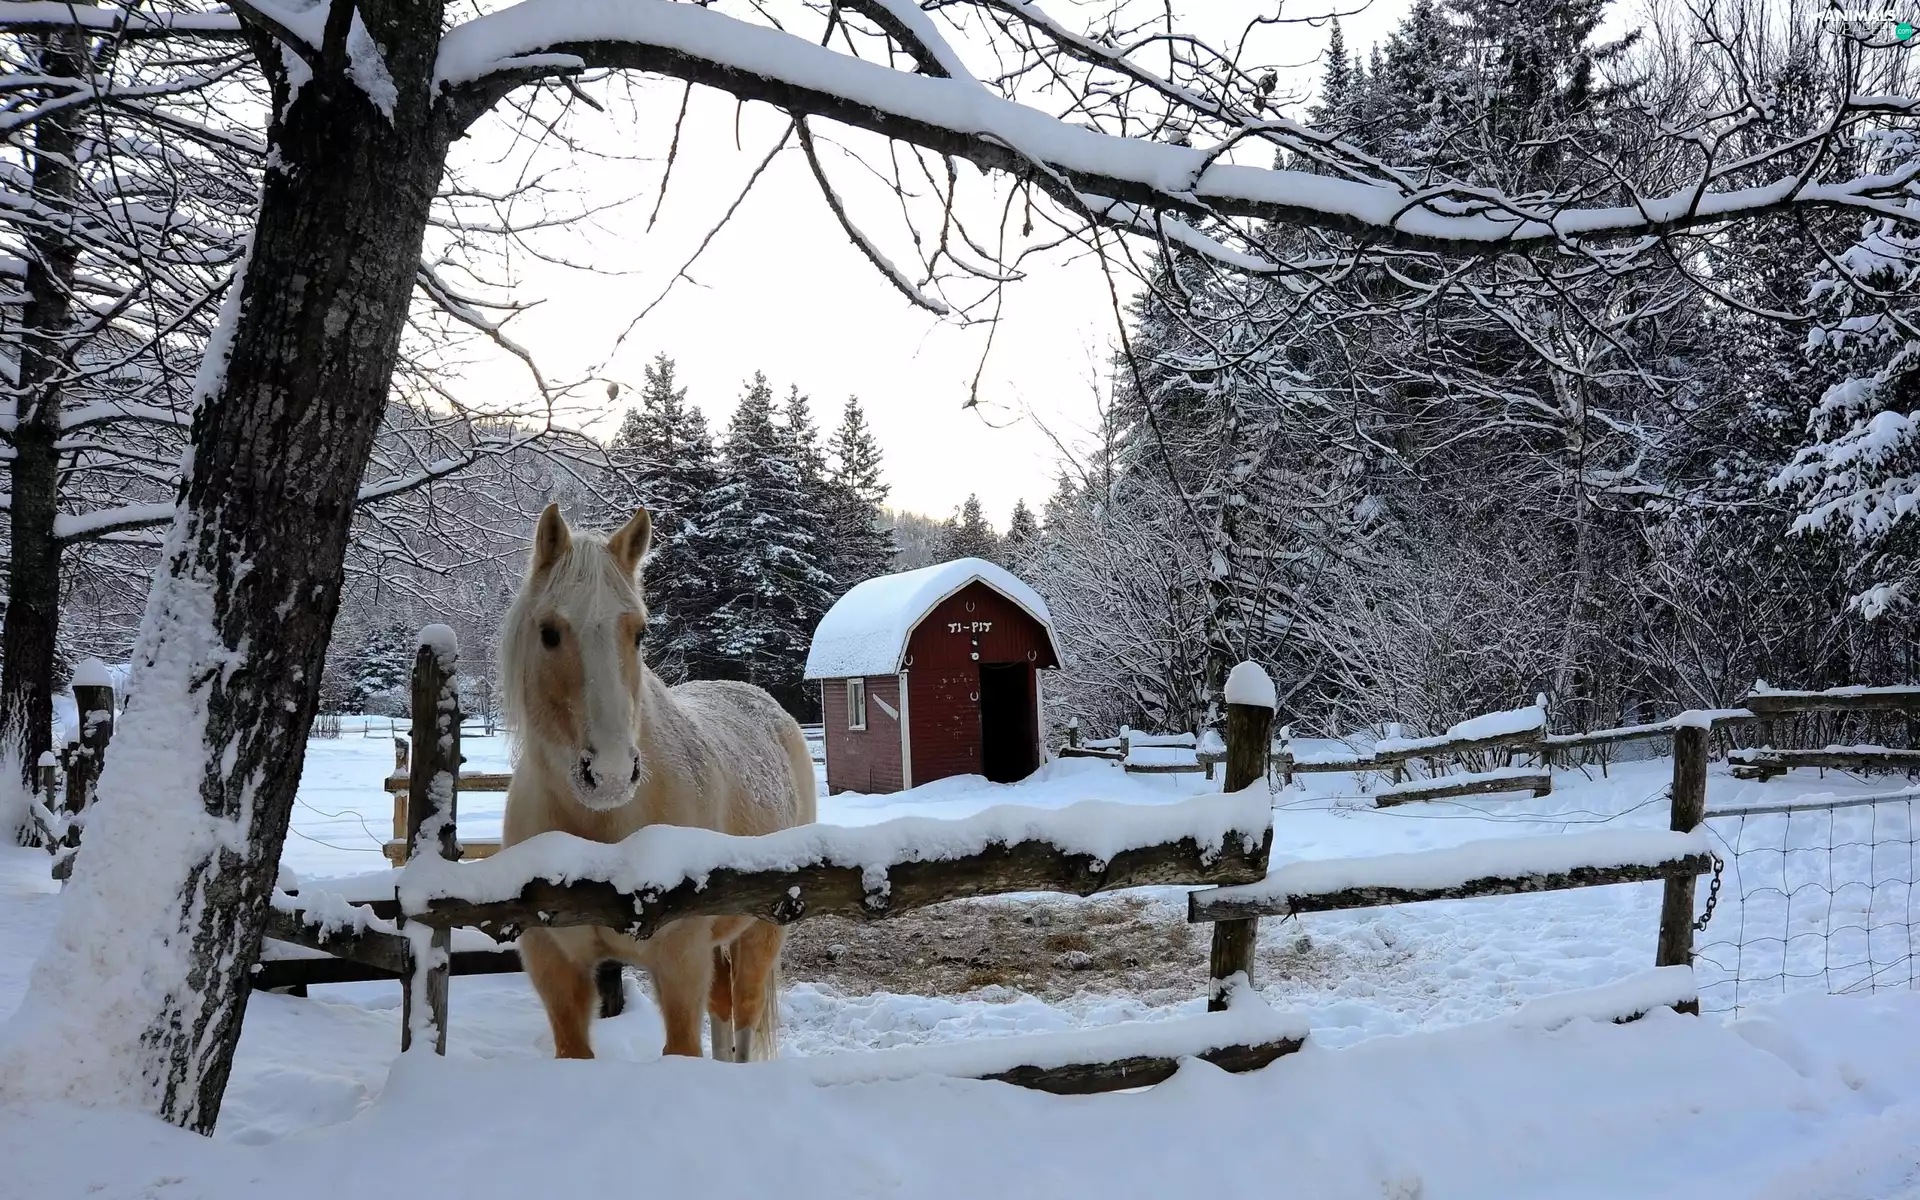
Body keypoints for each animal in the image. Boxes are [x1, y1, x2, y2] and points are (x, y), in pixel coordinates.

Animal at [499, 503, 817, 1061]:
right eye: (549, 632)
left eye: (640, 633)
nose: (609, 773)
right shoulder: (554, 969)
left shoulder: (680, 962)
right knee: (723, 1014)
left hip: (760, 930)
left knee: (744, 1019)